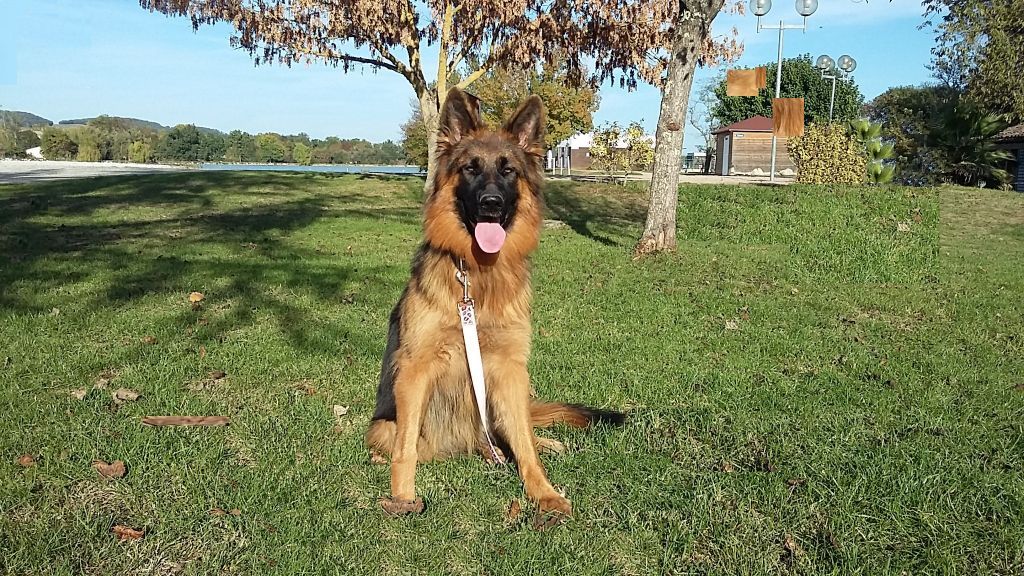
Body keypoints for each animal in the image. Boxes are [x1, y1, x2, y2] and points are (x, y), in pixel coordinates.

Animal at [365, 87, 623, 528]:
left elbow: (525, 445)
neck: (477, 277)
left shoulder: (510, 369)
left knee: (519, 432)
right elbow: (406, 449)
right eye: (470, 169)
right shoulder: (415, 370)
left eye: (508, 172)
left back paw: (538, 442)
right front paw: (402, 497)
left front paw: (544, 493)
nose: (490, 203)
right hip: (384, 425)